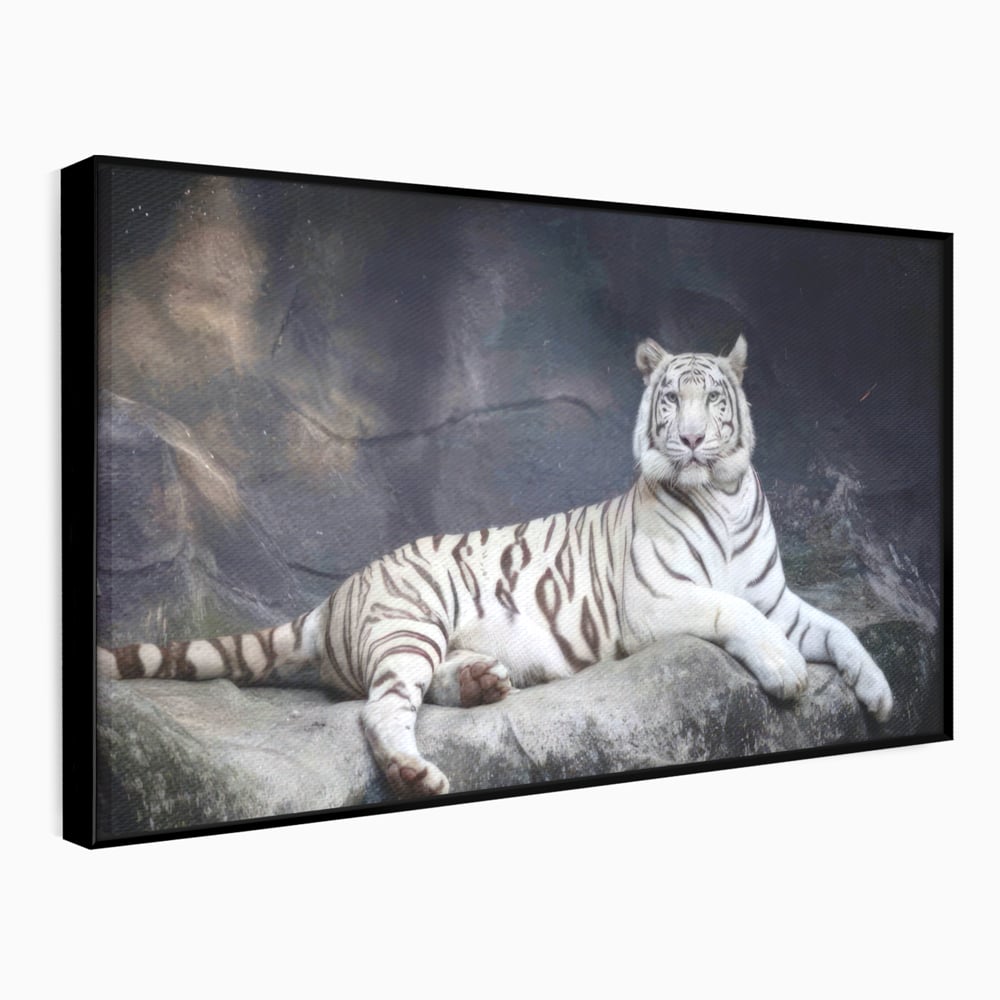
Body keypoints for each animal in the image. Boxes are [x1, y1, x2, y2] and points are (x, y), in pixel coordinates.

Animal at [98, 335, 894, 798]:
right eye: (672, 399)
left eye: (713, 401)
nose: (694, 440)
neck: (721, 494)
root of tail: (337, 595)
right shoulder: (657, 600)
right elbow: (738, 612)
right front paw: (787, 671)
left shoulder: (778, 595)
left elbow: (838, 630)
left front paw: (880, 694)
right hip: (410, 623)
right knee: (382, 708)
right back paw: (415, 771)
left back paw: (483, 682)